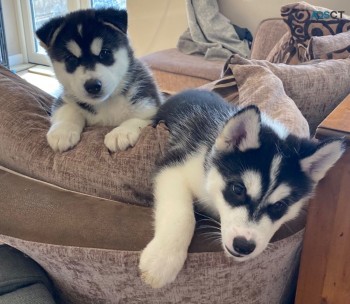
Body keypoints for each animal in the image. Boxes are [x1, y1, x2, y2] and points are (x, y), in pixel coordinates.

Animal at [35, 8, 161, 152]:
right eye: (71, 59)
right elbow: (68, 109)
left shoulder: (150, 106)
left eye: (104, 53)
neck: (105, 103)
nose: (93, 86)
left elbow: (137, 119)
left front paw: (121, 133)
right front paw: (62, 131)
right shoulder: (65, 99)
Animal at [139, 89, 344, 288]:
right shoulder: (174, 166)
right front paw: (162, 261)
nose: (243, 246)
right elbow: (183, 216)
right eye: (238, 189)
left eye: (280, 205)